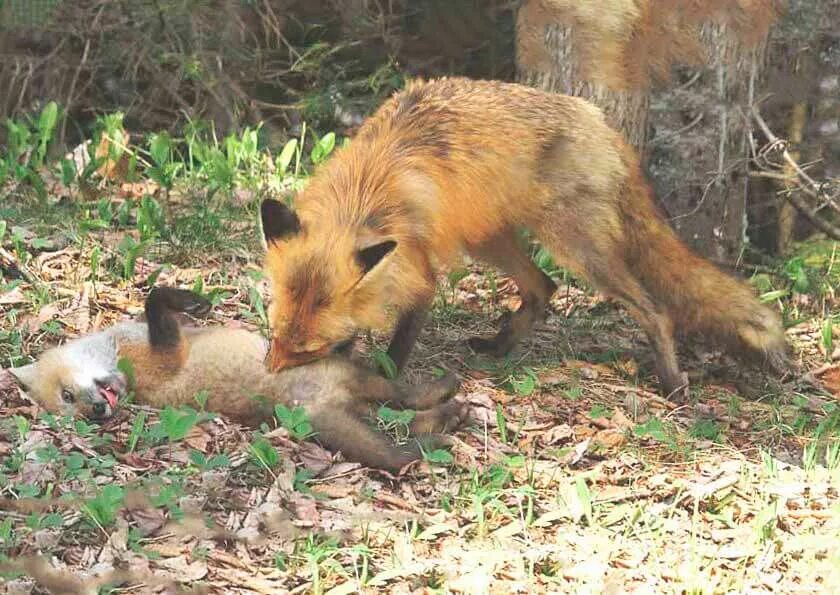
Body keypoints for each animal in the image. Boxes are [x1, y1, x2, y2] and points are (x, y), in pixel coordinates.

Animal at [8, 286, 466, 472]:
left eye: (67, 395)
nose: (97, 412)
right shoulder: (168, 350)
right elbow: (155, 298)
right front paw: (190, 299)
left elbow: (154, 300)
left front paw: (194, 302)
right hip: (352, 394)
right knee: (400, 436)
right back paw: (443, 423)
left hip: (359, 393)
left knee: (404, 409)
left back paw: (449, 408)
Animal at [260, 77, 792, 398]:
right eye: (275, 334)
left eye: (304, 350)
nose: (267, 375)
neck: (365, 193)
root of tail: (602, 123)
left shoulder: (418, 271)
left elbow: (400, 344)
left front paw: (382, 380)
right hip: (489, 240)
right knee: (543, 287)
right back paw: (499, 348)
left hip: (576, 247)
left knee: (654, 310)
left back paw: (672, 380)